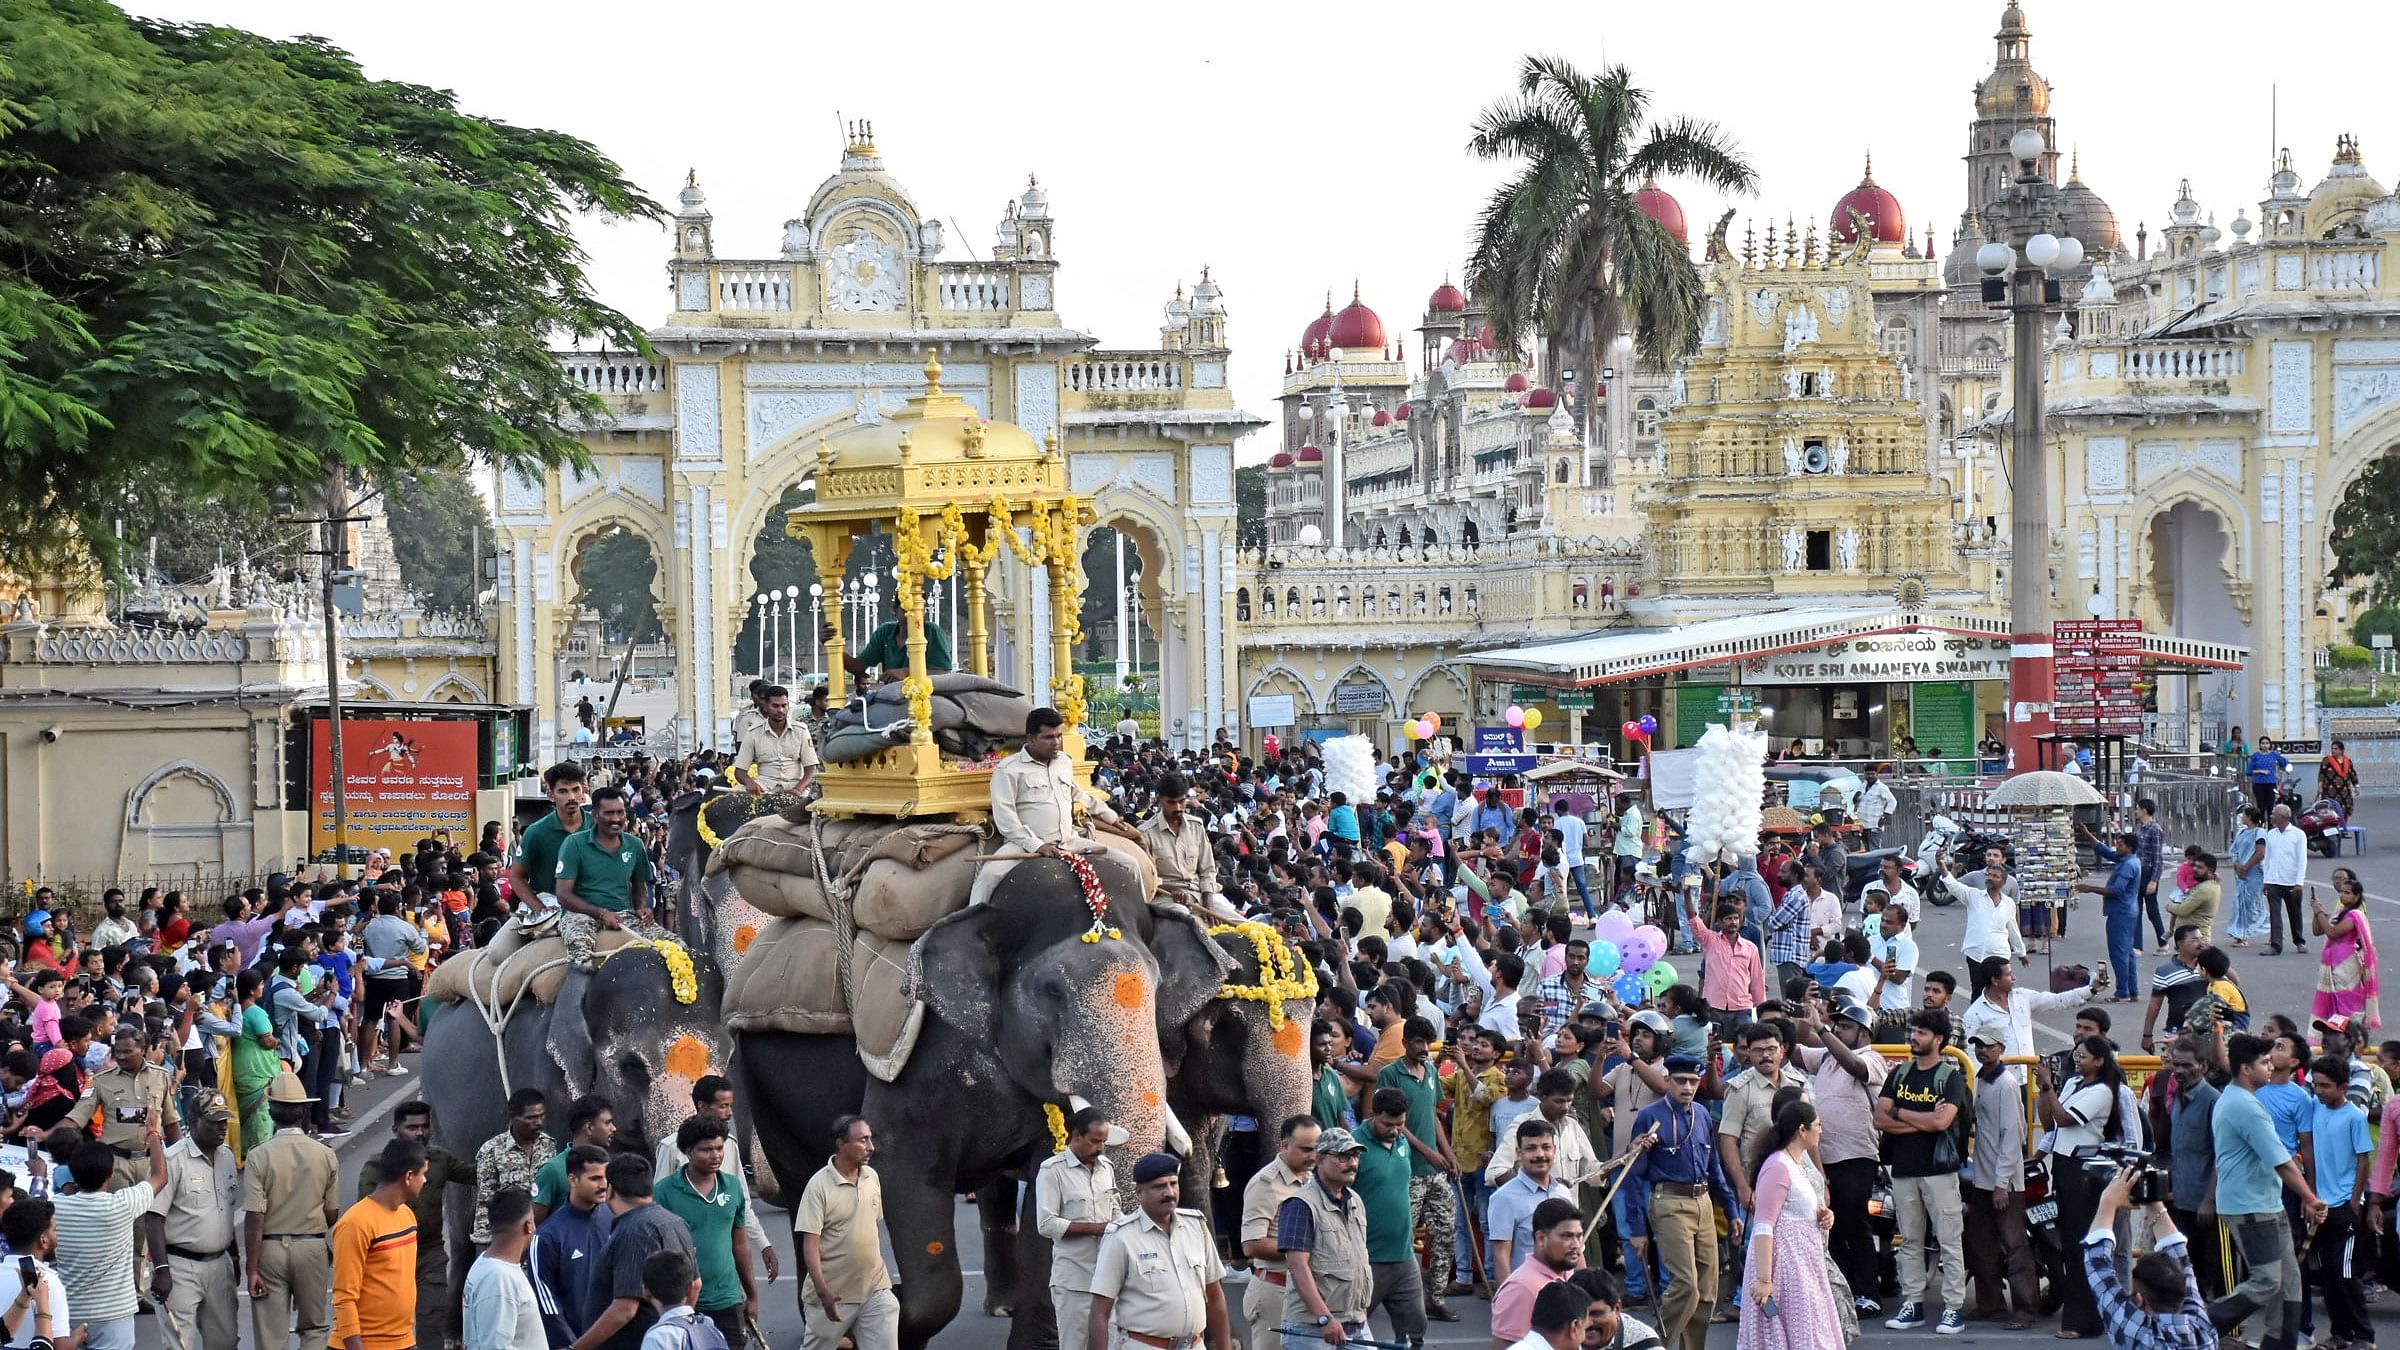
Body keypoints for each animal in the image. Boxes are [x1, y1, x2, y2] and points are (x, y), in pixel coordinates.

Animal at [729, 850, 1228, 1345]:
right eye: (1051, 991)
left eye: (1156, 985)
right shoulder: (914, 1070)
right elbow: (900, 1168)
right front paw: (893, 1309)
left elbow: (1046, 1197)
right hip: (761, 1075)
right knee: (802, 1193)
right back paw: (829, 1323)